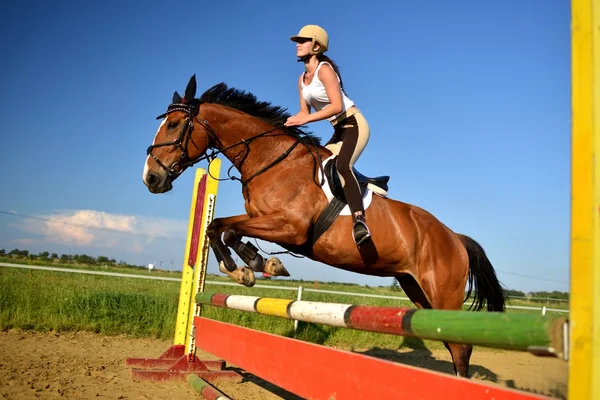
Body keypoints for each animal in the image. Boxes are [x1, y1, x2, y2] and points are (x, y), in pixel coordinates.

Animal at [143, 74, 504, 378]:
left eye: (174, 125)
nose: (151, 178)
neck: (270, 158)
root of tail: (455, 237)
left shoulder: (291, 228)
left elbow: (225, 228)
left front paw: (249, 268)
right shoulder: (265, 222)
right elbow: (218, 227)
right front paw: (254, 265)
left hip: (442, 294)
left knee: (461, 348)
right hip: (416, 290)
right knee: (452, 344)